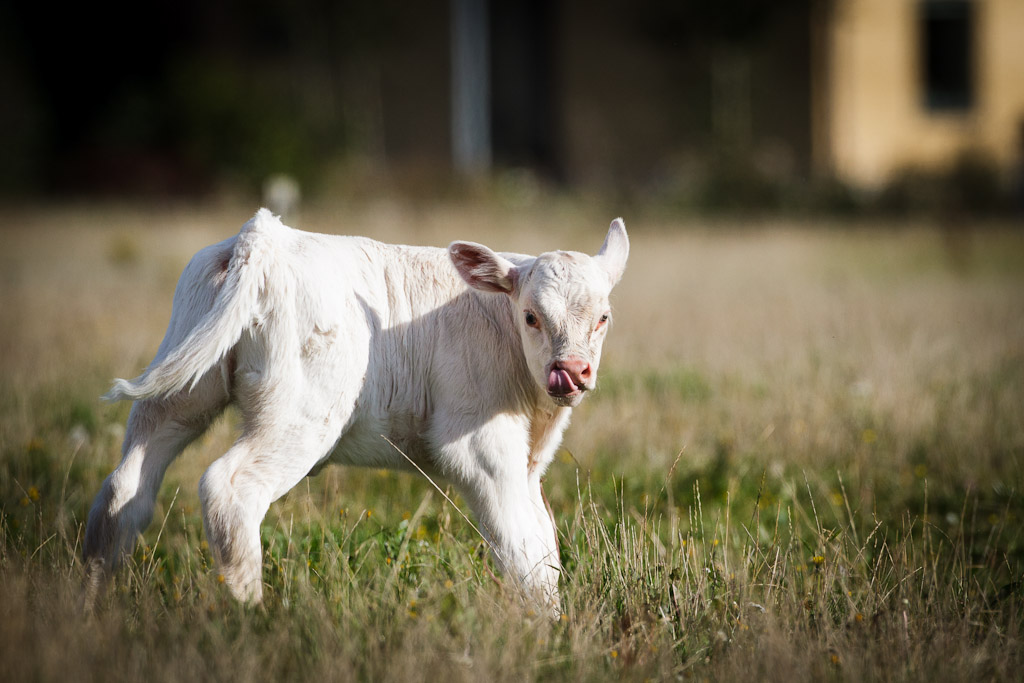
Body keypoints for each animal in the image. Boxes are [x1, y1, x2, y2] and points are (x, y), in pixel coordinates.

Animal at [83, 209, 626, 610]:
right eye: (531, 316)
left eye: (604, 318)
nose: (570, 371)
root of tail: (262, 238)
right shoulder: (479, 446)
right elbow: (521, 547)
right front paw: (547, 631)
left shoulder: (528, 462)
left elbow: (543, 543)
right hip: (300, 415)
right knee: (228, 488)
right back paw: (251, 615)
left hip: (180, 392)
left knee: (125, 488)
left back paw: (92, 606)